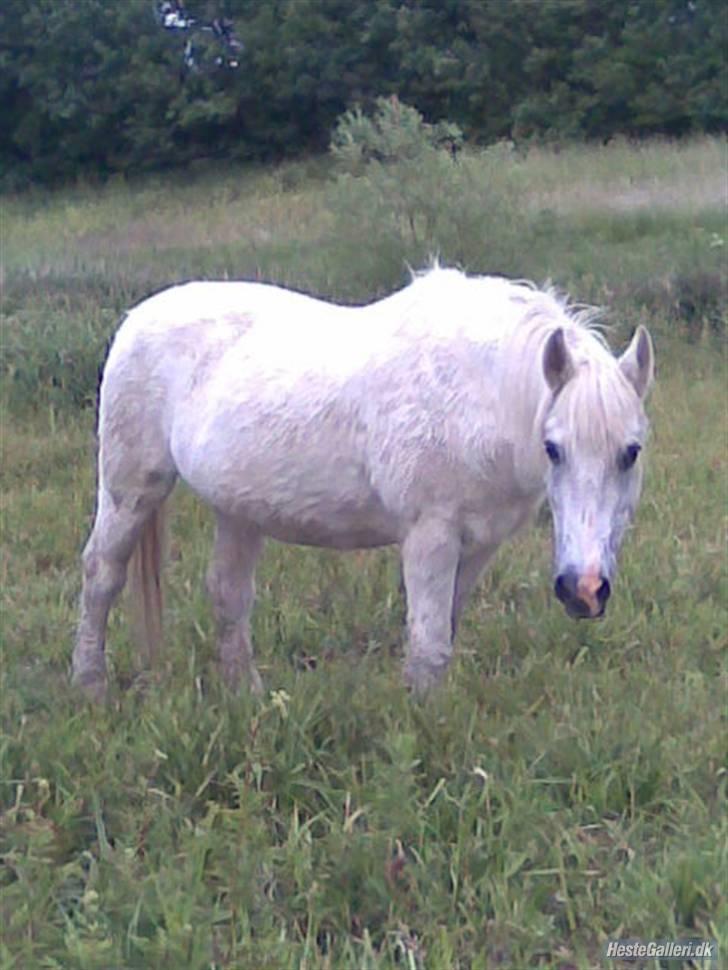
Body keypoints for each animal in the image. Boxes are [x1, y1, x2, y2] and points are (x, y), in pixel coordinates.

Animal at [74, 268, 656, 700]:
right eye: (553, 448)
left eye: (630, 452)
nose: (583, 591)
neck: (481, 394)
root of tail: (139, 317)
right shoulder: (429, 537)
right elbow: (428, 646)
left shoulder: (479, 544)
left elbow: (443, 632)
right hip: (131, 489)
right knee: (102, 574)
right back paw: (91, 688)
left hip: (238, 509)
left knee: (228, 593)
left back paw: (249, 698)